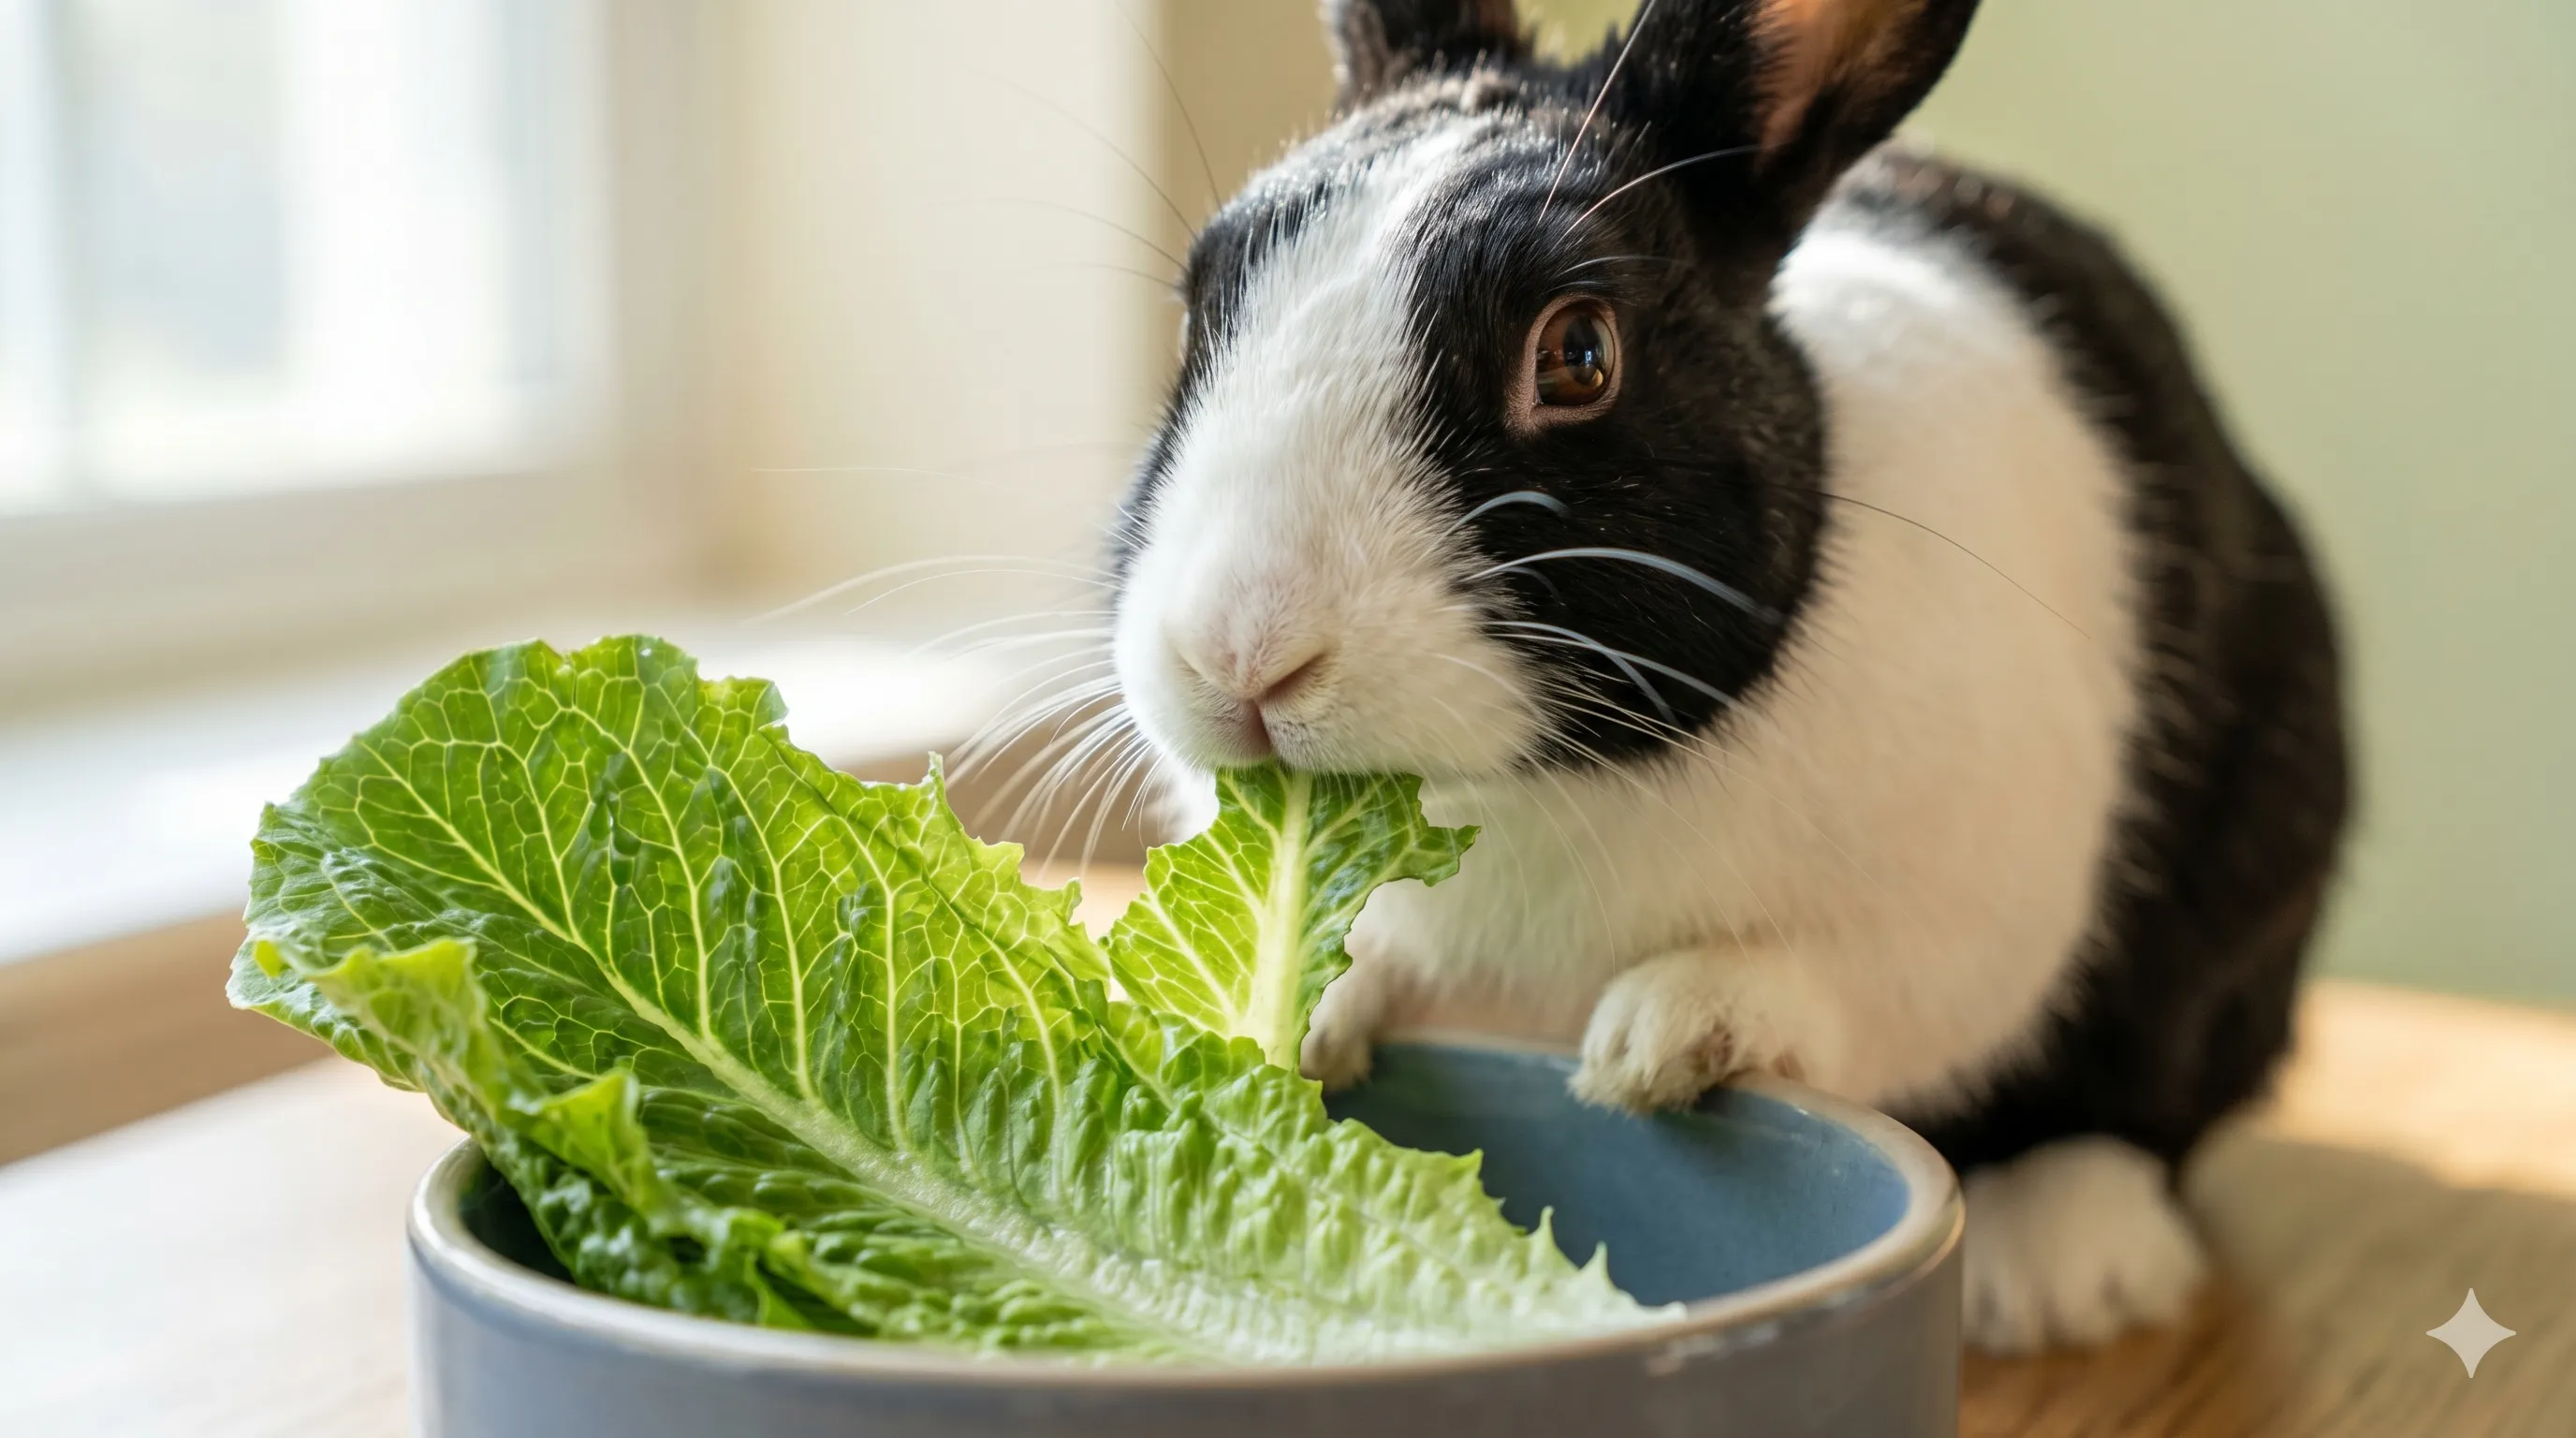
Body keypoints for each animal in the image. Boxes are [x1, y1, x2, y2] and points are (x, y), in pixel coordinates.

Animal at [1103, 0, 2348, 1355]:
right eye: (1199, 310)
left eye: (1578, 355)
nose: (1241, 655)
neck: (1538, 788)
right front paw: (1322, 1017)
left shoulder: (1976, 916)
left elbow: (1847, 988)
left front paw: (1662, 1040)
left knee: (2143, 1105)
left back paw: (2061, 1264)